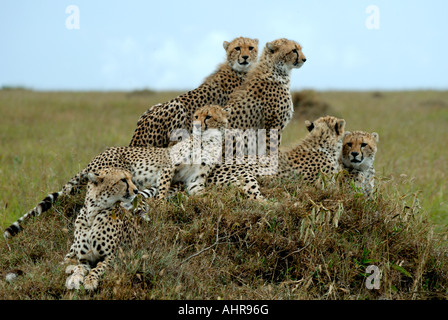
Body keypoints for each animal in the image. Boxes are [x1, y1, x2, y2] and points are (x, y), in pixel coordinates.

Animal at [6, 105, 231, 238]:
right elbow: (163, 188)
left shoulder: (196, 179)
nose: (196, 125)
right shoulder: (169, 166)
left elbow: (201, 194)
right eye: (196, 116)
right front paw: (161, 205)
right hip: (119, 172)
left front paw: (213, 201)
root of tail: (97, 156)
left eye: (208, 117)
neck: (209, 141)